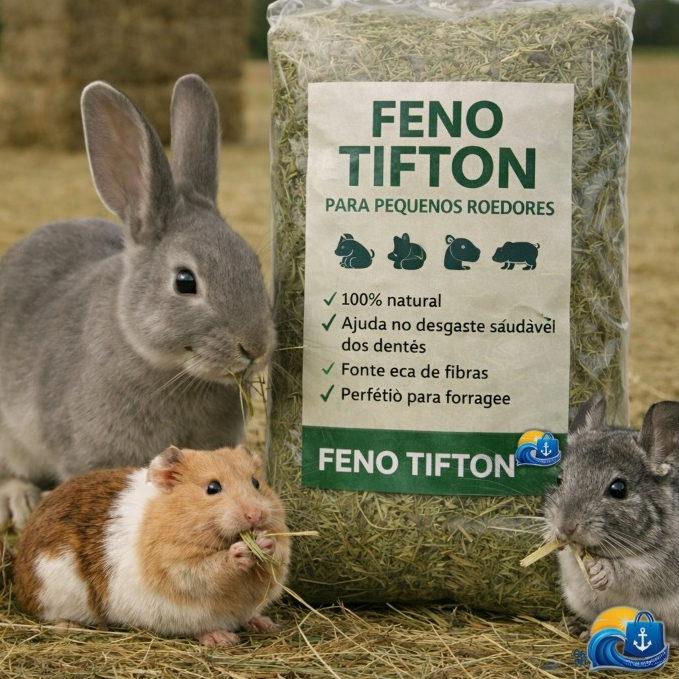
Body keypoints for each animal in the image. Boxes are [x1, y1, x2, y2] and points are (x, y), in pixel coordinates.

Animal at [13, 445, 290, 647]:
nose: (255, 515)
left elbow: (273, 561)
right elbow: (210, 571)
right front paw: (240, 553)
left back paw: (266, 624)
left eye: (256, 483)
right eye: (213, 487)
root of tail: (20, 581)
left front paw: (265, 543)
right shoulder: (180, 569)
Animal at [543, 393, 679, 643]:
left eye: (619, 489)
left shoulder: (658, 566)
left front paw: (601, 570)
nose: (565, 527)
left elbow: (632, 570)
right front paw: (552, 537)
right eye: (559, 479)